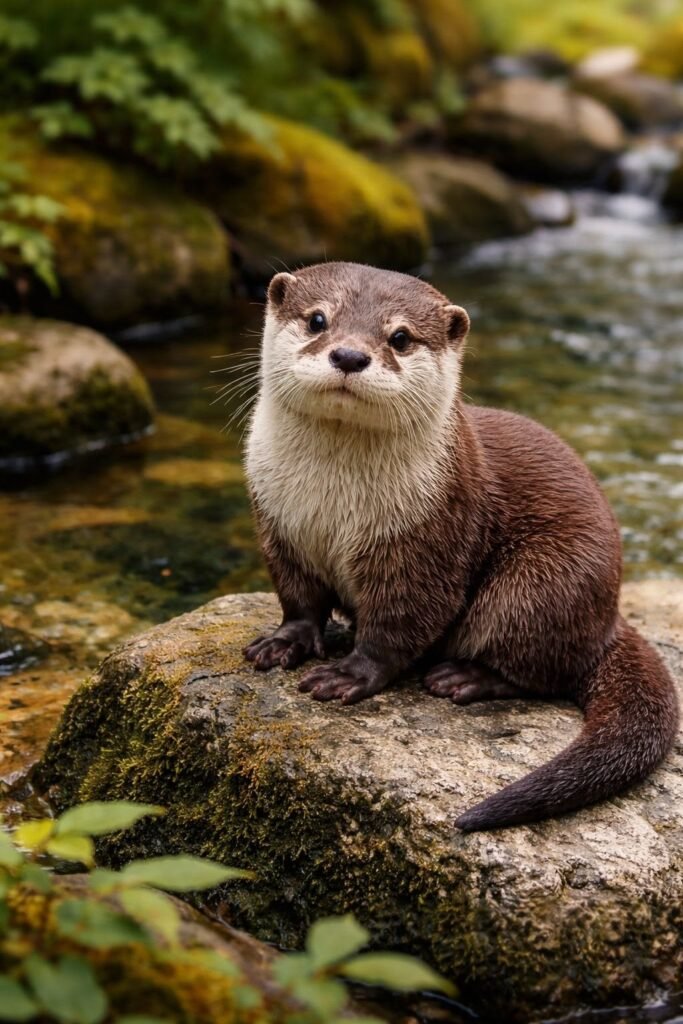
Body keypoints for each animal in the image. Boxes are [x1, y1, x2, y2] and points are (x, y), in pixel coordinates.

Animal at [243, 261, 678, 831]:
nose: (350, 355)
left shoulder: (427, 541)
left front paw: (346, 675)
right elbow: (299, 602)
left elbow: (401, 625)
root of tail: (608, 618)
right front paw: (282, 644)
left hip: (546, 580)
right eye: (318, 319)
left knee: (540, 666)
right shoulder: (279, 525)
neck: (334, 506)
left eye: (400, 337)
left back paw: (464, 679)